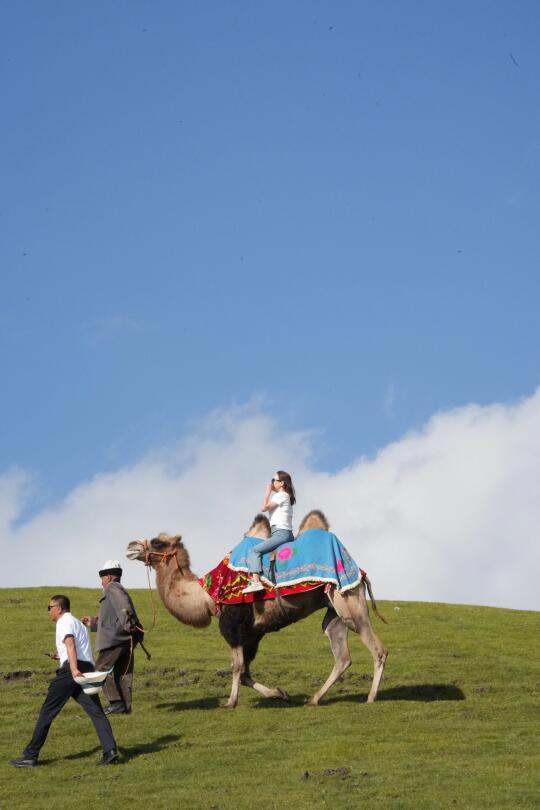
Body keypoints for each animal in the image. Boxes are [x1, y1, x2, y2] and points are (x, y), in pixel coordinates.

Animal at [126, 512, 388, 708]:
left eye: (158, 542)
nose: (130, 546)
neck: (207, 595)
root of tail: (359, 570)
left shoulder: (232, 625)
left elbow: (236, 666)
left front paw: (230, 702)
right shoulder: (253, 632)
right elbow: (244, 672)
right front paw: (280, 694)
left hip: (348, 601)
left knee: (378, 649)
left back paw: (371, 697)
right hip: (334, 612)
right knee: (342, 656)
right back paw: (314, 699)